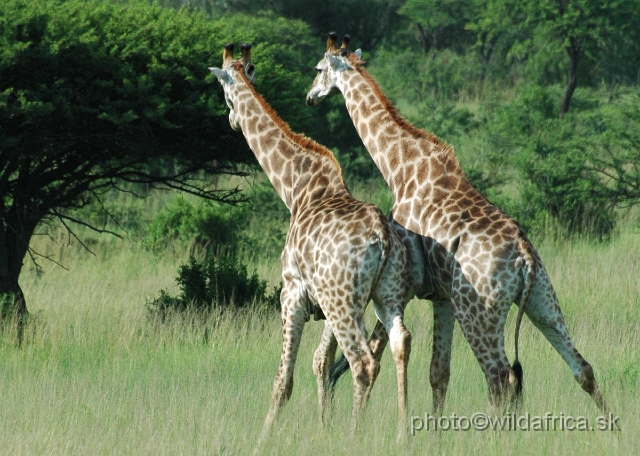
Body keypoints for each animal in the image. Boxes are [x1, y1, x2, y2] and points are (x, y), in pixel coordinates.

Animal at [208, 42, 412, 442]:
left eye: (223, 91)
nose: (231, 120)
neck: (296, 189)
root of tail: (382, 237)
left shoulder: (292, 292)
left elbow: (283, 381)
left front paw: (262, 440)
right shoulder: (326, 302)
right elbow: (321, 363)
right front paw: (323, 429)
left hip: (345, 302)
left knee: (363, 363)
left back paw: (354, 437)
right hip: (381, 296)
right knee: (399, 344)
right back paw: (402, 432)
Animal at [304, 33, 608, 416]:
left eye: (318, 69)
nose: (309, 97)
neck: (398, 167)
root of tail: (524, 256)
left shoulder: (406, 282)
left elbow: (381, 349)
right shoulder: (438, 293)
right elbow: (436, 372)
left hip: (478, 310)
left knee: (501, 379)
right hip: (542, 299)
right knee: (582, 368)